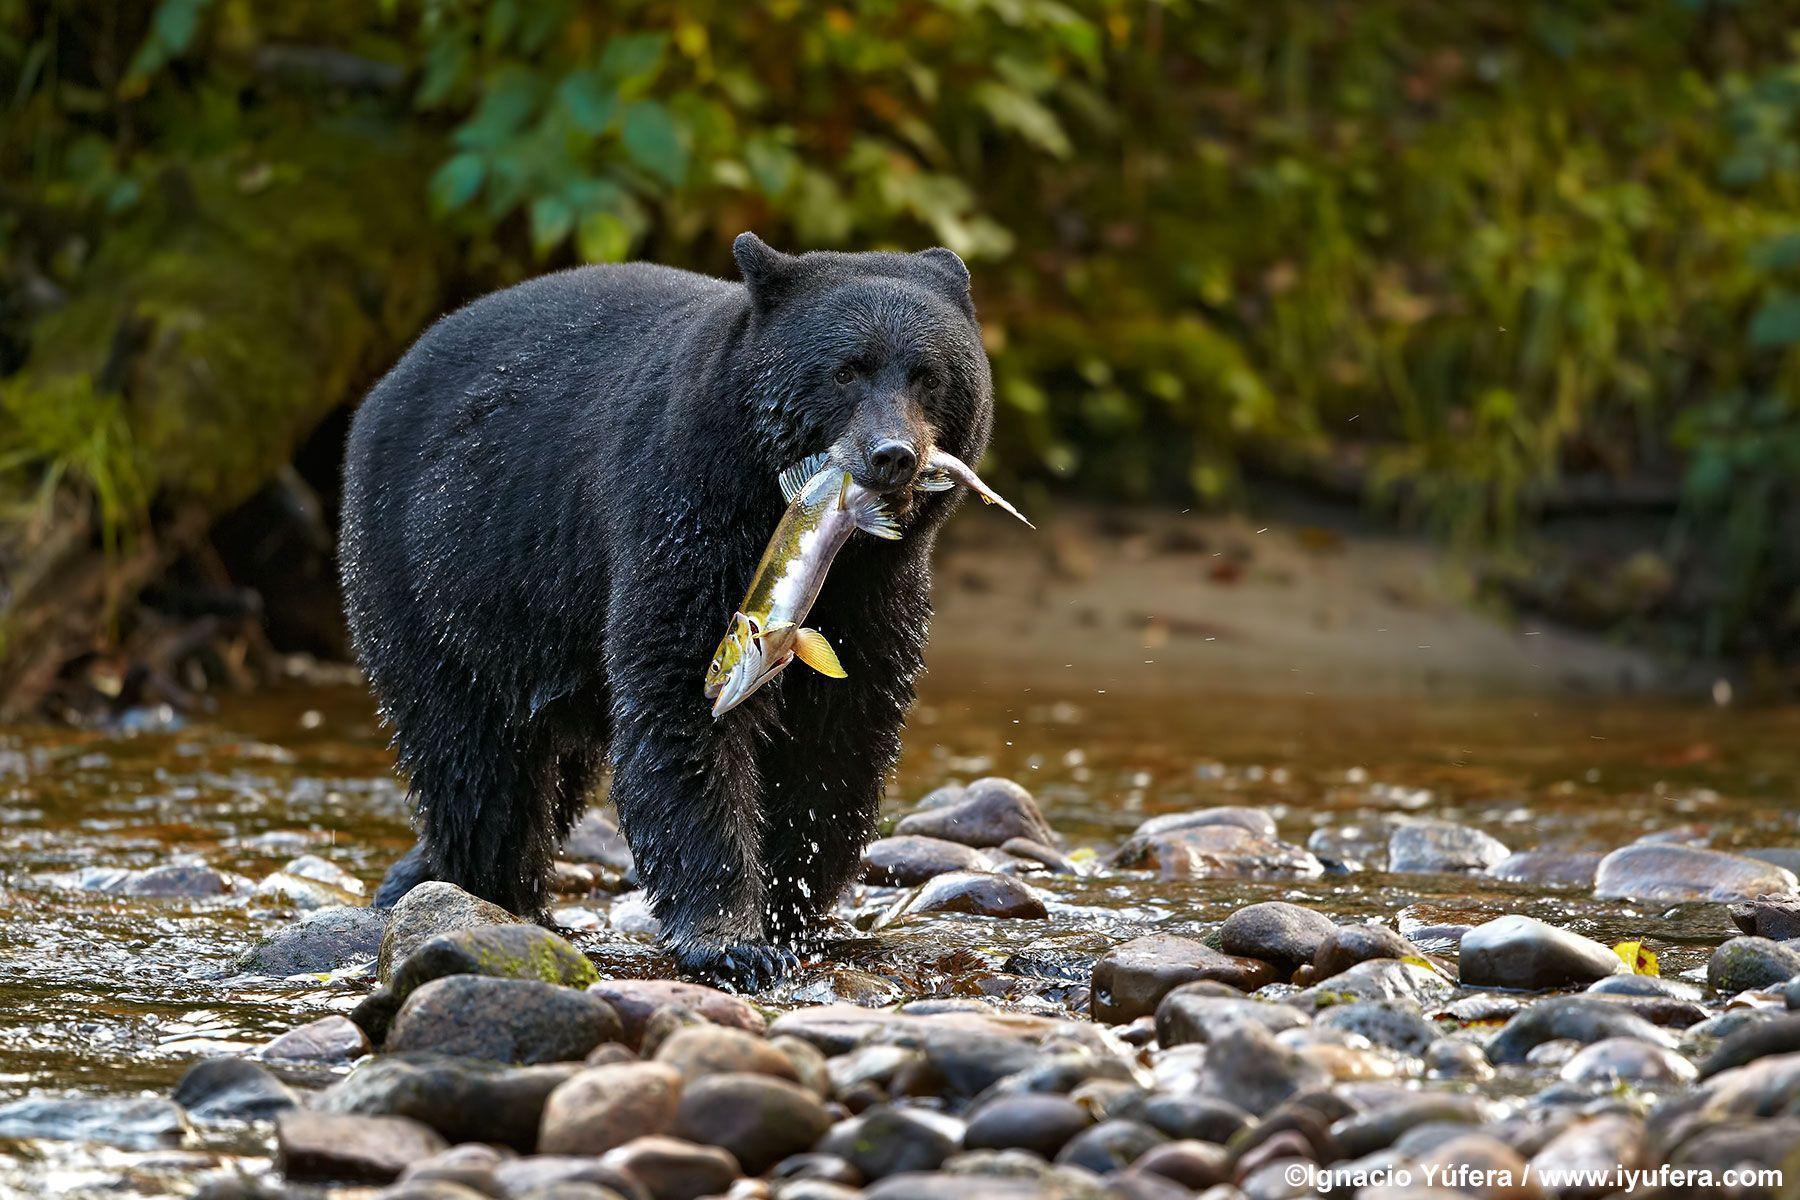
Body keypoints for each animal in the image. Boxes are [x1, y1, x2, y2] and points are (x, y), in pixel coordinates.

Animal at [338, 232, 993, 988]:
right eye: (844, 372)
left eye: (928, 375)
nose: (893, 454)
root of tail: (382, 387)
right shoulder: (684, 519)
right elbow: (680, 705)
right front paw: (733, 939)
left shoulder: (878, 594)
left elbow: (841, 734)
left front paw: (792, 909)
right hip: (432, 581)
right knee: (476, 764)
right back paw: (492, 894)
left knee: (549, 774)